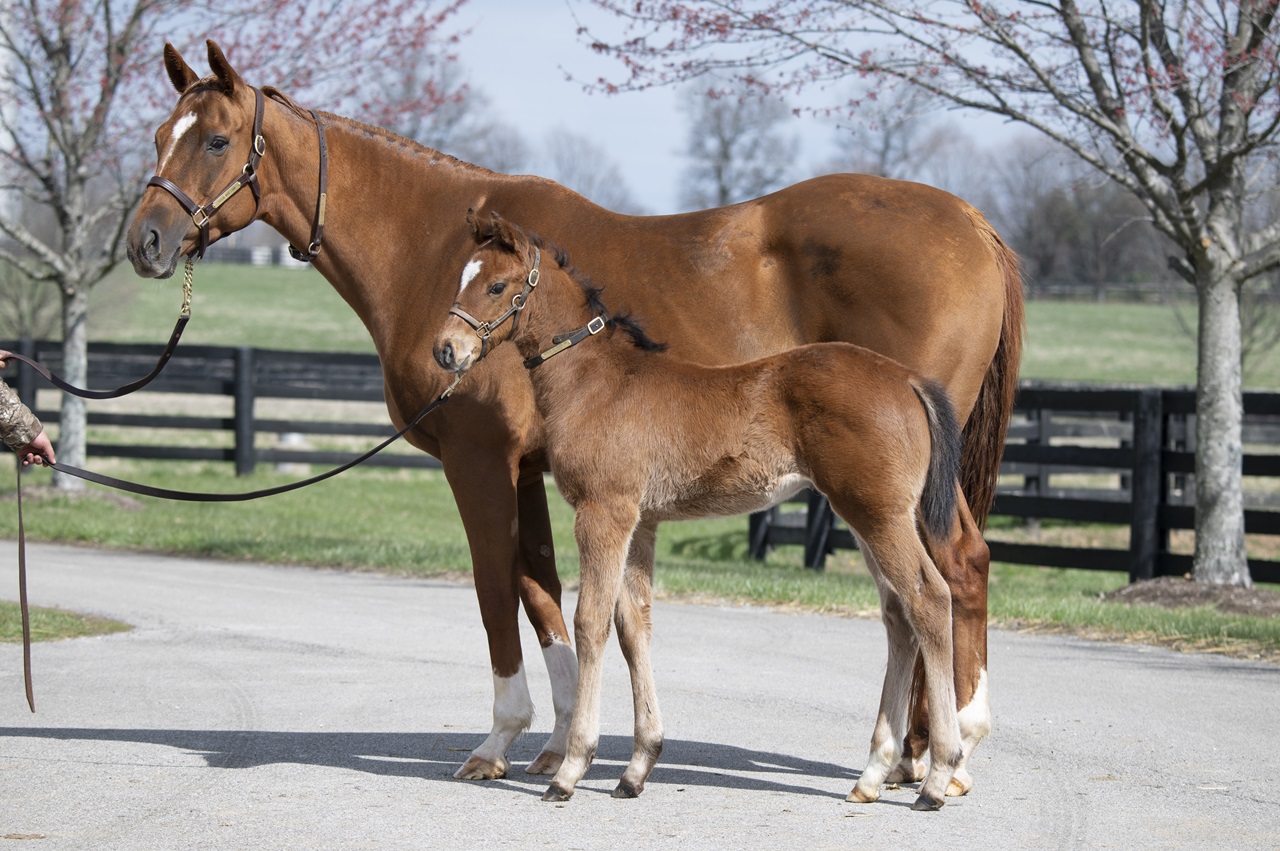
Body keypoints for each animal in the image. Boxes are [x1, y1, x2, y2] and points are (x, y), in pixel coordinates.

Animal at [433, 210, 968, 809]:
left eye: (496, 285)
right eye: (462, 276)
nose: (446, 350)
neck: (596, 382)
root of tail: (908, 378)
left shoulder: (604, 511)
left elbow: (590, 621)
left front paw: (570, 768)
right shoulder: (640, 523)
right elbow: (633, 626)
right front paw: (636, 768)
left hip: (879, 515)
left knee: (929, 600)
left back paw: (939, 775)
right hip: (865, 517)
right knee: (899, 616)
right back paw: (872, 774)